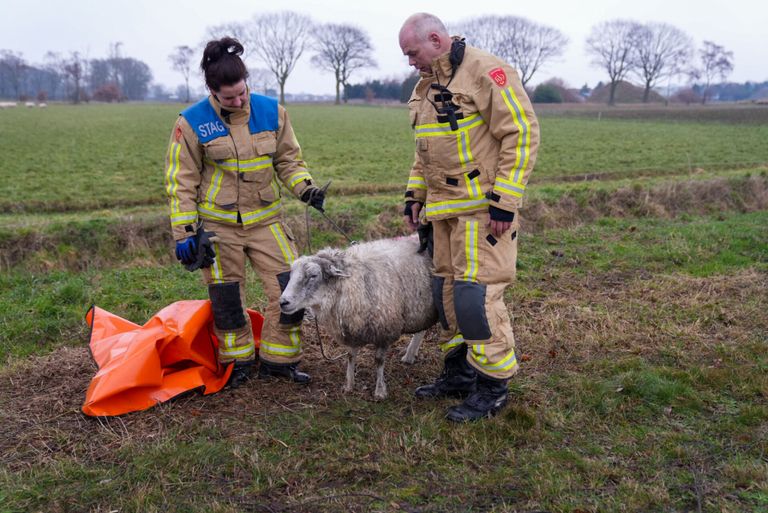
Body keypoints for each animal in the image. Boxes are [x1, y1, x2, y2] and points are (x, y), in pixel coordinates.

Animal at [280, 236, 438, 400]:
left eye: (313, 275)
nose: (283, 302)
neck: (351, 281)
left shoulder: (385, 330)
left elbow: (379, 361)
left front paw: (380, 391)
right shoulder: (351, 329)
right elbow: (350, 356)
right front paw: (349, 385)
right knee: (422, 329)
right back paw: (409, 355)